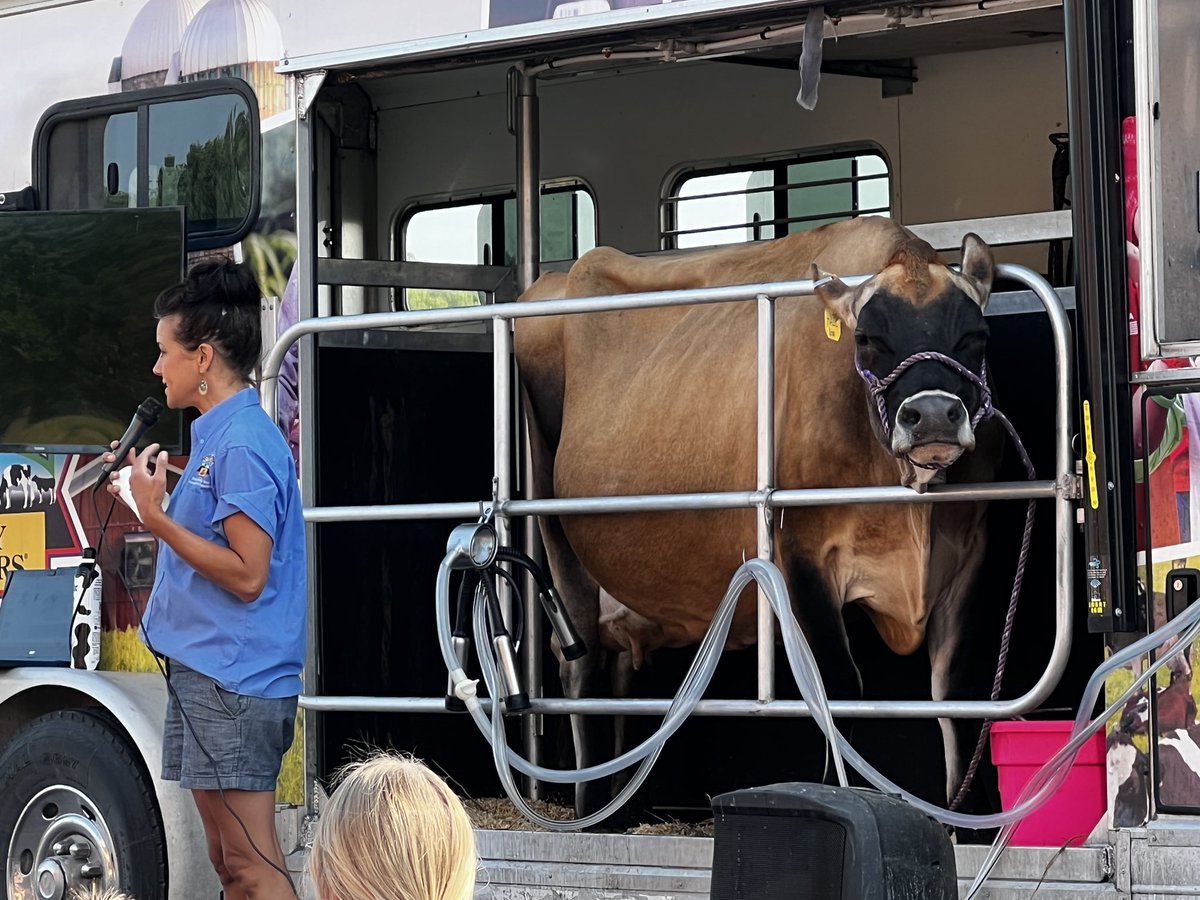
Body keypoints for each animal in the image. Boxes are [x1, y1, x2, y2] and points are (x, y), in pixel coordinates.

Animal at [513, 216, 1003, 815]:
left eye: (977, 336)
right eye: (867, 340)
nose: (932, 415)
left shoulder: (967, 556)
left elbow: (956, 694)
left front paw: (969, 818)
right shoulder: (803, 556)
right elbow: (839, 687)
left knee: (619, 670)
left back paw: (621, 810)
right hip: (553, 516)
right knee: (580, 666)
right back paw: (590, 812)